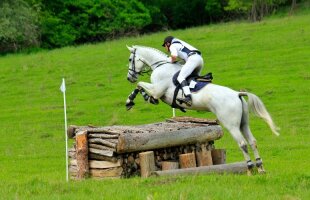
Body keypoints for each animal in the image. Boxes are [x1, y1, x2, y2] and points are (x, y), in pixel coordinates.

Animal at [124, 45, 280, 173]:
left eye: (130, 59)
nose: (129, 77)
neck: (161, 66)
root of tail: (237, 94)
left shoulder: (157, 90)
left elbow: (140, 84)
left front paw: (130, 100)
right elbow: (140, 86)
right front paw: (142, 99)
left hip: (231, 124)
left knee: (242, 144)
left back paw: (249, 168)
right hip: (244, 123)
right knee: (253, 142)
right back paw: (260, 168)